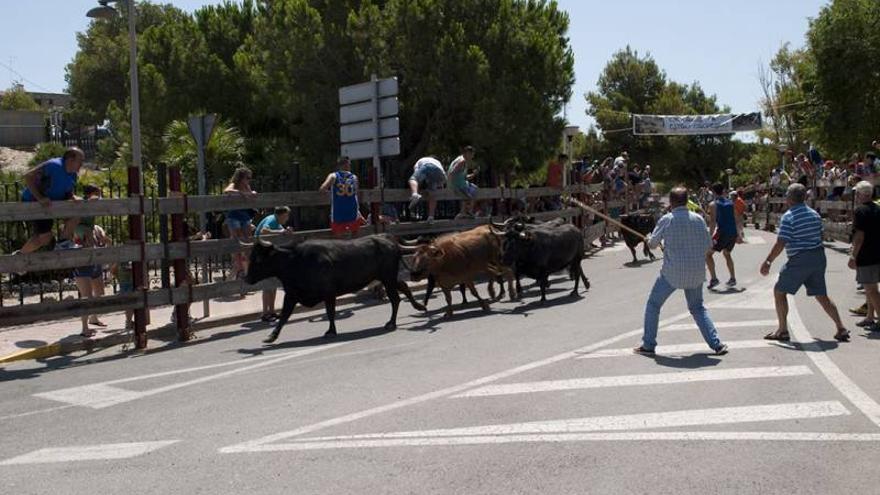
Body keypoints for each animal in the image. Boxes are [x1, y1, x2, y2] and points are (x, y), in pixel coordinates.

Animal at [244, 234, 426, 342]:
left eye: (258, 258)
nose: (247, 278)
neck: (295, 260)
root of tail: (389, 241)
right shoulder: (292, 294)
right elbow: (284, 316)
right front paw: (271, 336)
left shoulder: (328, 292)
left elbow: (330, 312)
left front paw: (331, 331)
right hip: (389, 279)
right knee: (403, 287)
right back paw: (419, 306)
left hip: (388, 279)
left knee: (395, 298)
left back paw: (391, 323)